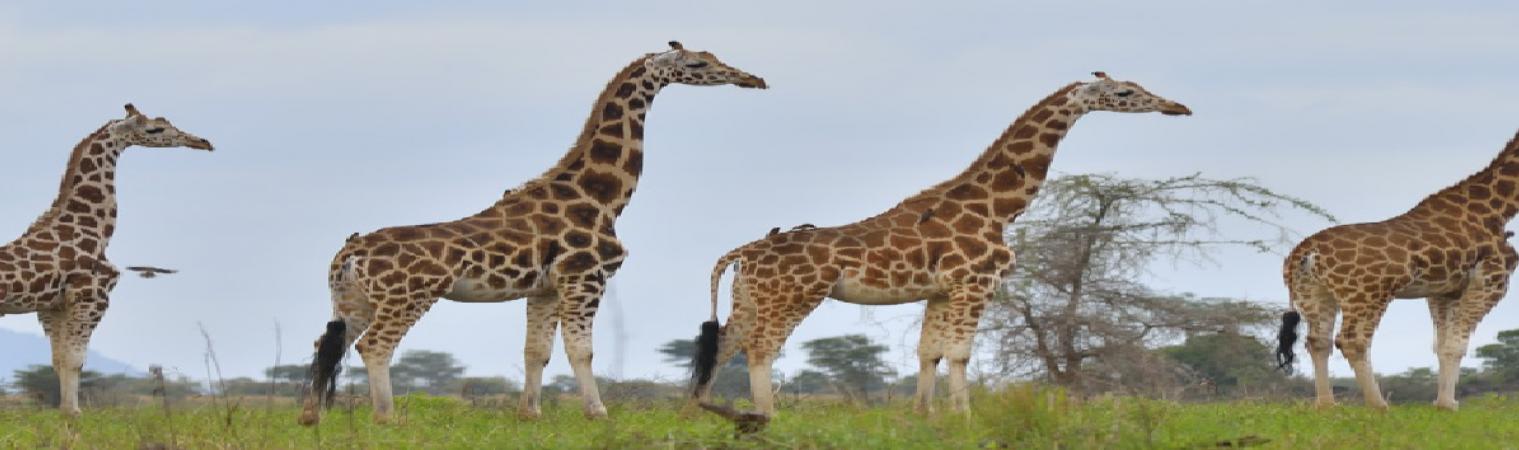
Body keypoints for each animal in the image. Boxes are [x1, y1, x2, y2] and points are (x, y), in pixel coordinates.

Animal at [0, 104, 214, 413]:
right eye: (156, 129)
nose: (202, 142)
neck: (97, 230)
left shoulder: (53, 307)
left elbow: (60, 361)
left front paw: (65, 411)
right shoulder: (92, 298)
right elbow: (75, 361)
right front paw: (74, 413)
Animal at [299, 41, 771, 425]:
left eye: (713, 56)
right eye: (698, 63)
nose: (753, 79)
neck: (604, 198)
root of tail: (350, 252)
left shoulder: (543, 289)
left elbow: (536, 351)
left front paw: (530, 414)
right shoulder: (585, 279)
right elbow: (582, 350)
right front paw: (598, 413)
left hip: (353, 300)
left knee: (328, 343)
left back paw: (311, 417)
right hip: (409, 296)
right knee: (375, 347)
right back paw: (387, 418)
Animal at [692, 72, 1196, 413]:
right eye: (1127, 93)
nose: (1178, 107)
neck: (999, 208)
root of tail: (739, 253)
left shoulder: (940, 291)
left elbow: (929, 352)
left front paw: (924, 417)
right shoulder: (975, 284)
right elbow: (959, 353)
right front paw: (965, 419)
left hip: (750, 298)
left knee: (725, 344)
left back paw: (700, 412)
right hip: (794, 296)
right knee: (761, 349)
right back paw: (766, 417)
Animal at [1275, 128, 1519, 410]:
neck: (1499, 209)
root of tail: (1302, 254)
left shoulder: (1444, 290)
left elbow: (1442, 345)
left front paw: (1443, 403)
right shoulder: (1492, 278)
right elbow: (1456, 345)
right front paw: (1448, 404)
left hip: (1314, 294)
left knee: (1318, 341)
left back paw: (1326, 405)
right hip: (1366, 295)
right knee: (1352, 341)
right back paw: (1379, 405)